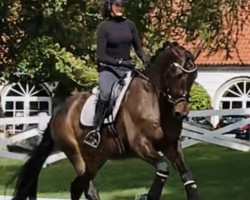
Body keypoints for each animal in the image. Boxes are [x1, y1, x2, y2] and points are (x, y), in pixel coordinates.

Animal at [11, 41, 202, 199]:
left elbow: (188, 177)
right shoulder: (141, 146)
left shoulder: (171, 146)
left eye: (194, 77)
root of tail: (59, 112)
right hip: (76, 154)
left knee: (77, 187)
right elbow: (162, 169)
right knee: (85, 187)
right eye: (176, 74)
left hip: (96, 159)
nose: (181, 113)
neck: (157, 104)